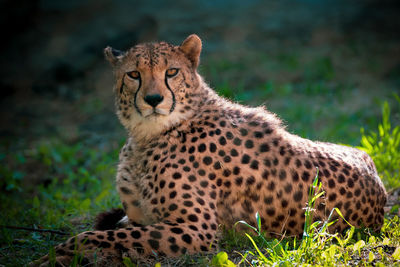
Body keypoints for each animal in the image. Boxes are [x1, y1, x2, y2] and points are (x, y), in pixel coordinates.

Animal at [33, 34, 384, 266]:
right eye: (133, 74)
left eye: (171, 72)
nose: (153, 99)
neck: (146, 136)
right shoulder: (140, 219)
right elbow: (113, 232)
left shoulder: (196, 230)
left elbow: (95, 236)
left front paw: (53, 255)